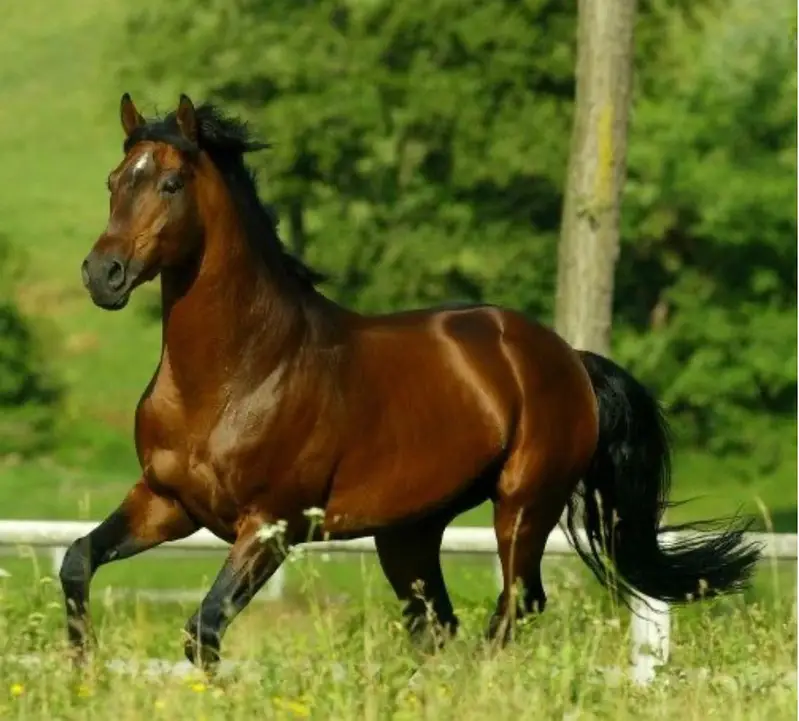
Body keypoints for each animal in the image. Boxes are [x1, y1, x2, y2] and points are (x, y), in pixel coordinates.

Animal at [63, 92, 761, 673]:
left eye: (171, 182)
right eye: (114, 182)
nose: (103, 274)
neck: (236, 374)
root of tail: (567, 357)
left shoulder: (270, 526)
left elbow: (203, 628)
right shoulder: (167, 502)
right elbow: (78, 562)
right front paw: (83, 673)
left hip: (523, 507)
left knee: (515, 606)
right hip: (409, 533)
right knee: (439, 627)